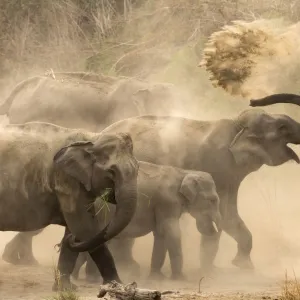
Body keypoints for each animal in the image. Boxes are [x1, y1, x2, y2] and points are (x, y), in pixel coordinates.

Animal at [0, 122, 139, 290]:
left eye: (138, 169)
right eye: (112, 172)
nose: (57, 245)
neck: (92, 138)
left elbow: (76, 228)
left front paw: (64, 288)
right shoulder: (66, 180)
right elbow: (84, 227)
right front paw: (117, 285)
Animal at [55, 162, 220, 282]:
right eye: (213, 200)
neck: (184, 172)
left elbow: (160, 234)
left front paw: (157, 278)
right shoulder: (167, 202)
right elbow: (171, 232)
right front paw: (180, 278)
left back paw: (77, 278)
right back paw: (89, 279)